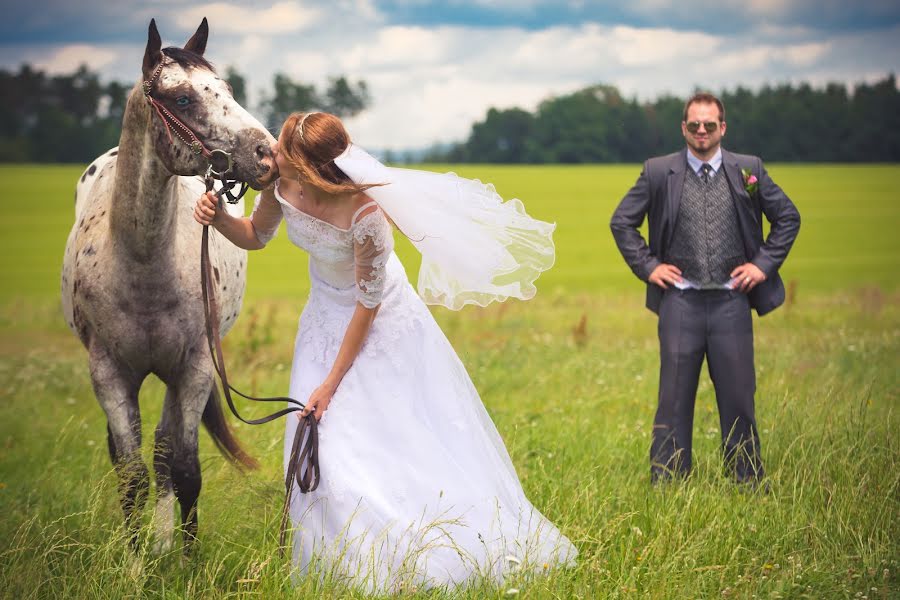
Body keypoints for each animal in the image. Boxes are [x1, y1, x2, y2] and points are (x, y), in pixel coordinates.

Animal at [61, 17, 276, 552]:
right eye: (182, 99)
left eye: (227, 89)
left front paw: (187, 559)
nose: (267, 155)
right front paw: (133, 563)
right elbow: (131, 476)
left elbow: (185, 469)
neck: (142, 265)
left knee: (163, 452)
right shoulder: (109, 373)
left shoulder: (193, 368)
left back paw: (163, 544)